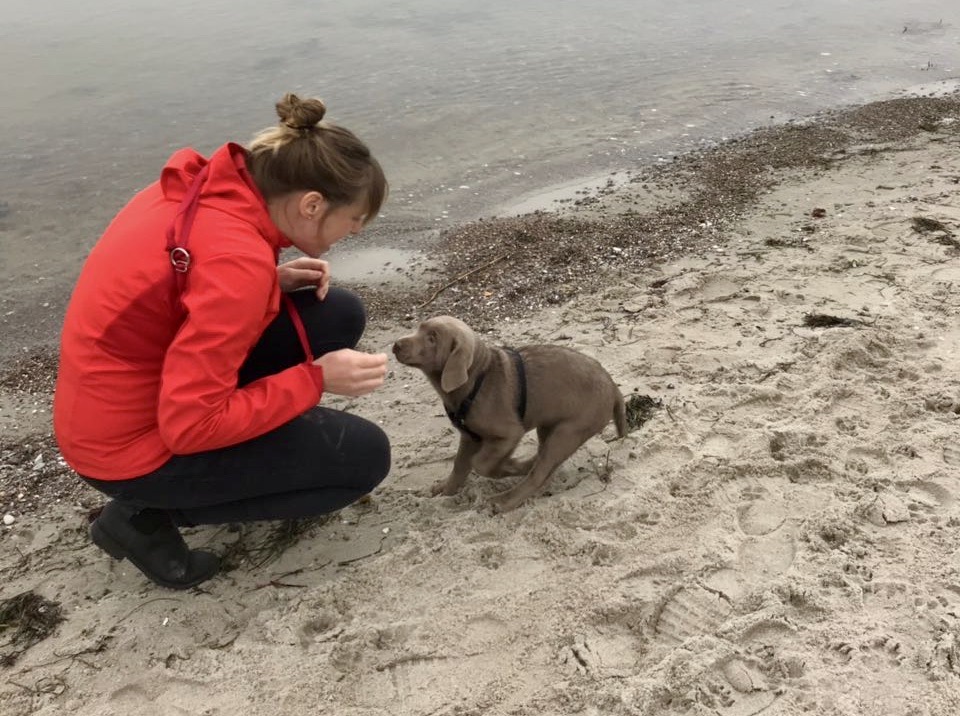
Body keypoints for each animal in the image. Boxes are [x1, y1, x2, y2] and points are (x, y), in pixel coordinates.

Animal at [394, 316, 628, 512]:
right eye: (419, 328)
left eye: (432, 338)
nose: (396, 345)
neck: (477, 378)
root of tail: (613, 387)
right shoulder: (469, 436)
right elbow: (460, 465)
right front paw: (446, 488)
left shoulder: (509, 433)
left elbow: (480, 463)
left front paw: (508, 466)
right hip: (549, 426)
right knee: (544, 465)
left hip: (569, 432)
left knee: (539, 473)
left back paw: (505, 500)